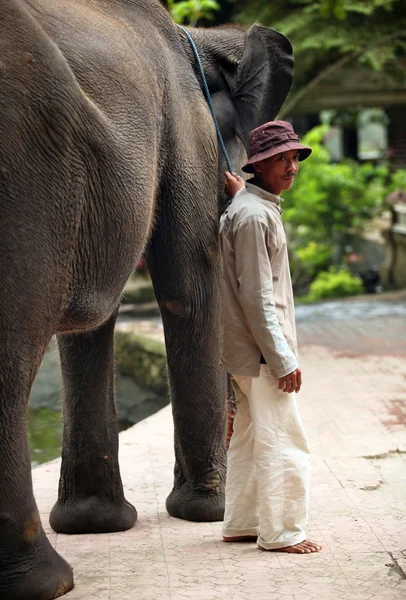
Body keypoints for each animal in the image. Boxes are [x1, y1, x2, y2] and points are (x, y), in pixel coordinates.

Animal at [0, 0, 292, 596]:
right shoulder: (186, 124)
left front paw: (95, 524)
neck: (200, 35)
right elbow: (188, 287)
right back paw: (47, 582)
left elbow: (97, 322)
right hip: (28, 157)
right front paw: (210, 512)